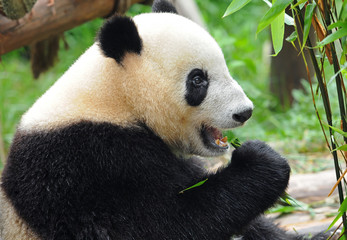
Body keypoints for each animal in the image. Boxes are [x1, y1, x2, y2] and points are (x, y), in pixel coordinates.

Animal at [0, 0, 328, 240]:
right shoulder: (84, 168)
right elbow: (163, 223)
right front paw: (260, 160)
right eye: (198, 80)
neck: (116, 99)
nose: (244, 112)